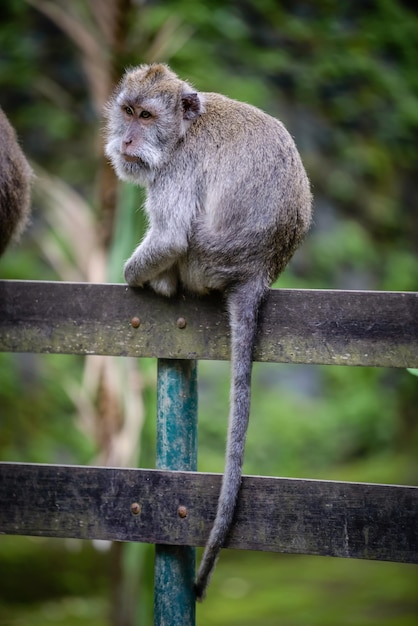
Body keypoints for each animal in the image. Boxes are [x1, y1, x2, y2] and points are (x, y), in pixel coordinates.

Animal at [104, 64, 314, 600]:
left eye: (146, 116)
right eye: (127, 111)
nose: (127, 138)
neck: (182, 131)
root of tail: (260, 270)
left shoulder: (177, 169)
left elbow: (170, 235)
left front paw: (132, 274)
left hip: (205, 264)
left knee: (183, 244)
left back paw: (161, 281)